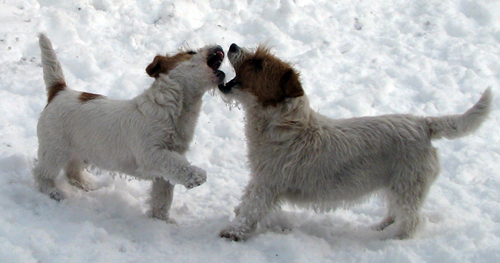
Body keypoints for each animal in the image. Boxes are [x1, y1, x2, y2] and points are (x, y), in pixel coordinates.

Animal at [33, 32, 225, 223]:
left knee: (71, 170)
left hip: (82, 151)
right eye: (191, 52)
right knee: (42, 174)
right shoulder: (153, 154)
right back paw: (53, 191)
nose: (220, 46)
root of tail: (59, 91)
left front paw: (161, 221)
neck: (173, 108)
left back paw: (84, 184)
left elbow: (163, 199)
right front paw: (197, 176)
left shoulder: (164, 173)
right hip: (54, 151)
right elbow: (179, 165)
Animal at [219, 43, 492, 241]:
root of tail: (424, 125)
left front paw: (234, 232)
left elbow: (252, 208)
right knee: (394, 213)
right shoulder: (259, 178)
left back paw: (392, 240)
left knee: (411, 221)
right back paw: (380, 227)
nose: (232, 45)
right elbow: (247, 200)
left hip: (407, 188)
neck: (286, 124)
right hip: (396, 186)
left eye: (259, 63)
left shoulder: (268, 183)